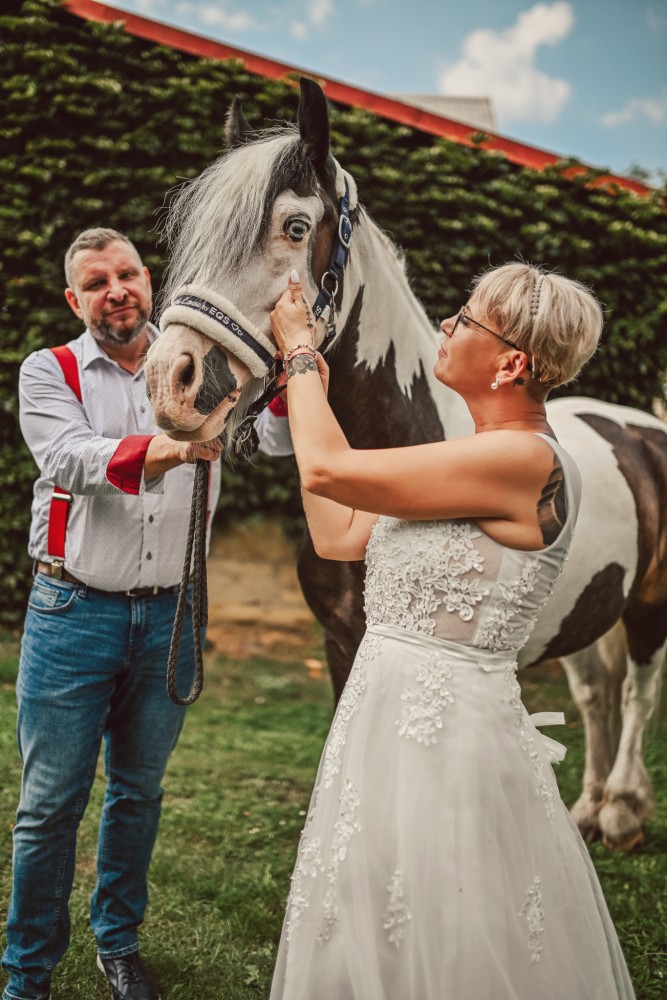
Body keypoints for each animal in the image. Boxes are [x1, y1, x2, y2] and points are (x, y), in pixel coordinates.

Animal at [146, 76, 667, 852]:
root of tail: (641, 429)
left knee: (636, 689)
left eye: (295, 228)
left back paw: (623, 809)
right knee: (594, 694)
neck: (409, 439)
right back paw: (587, 806)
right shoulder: (340, 646)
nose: (172, 380)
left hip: (649, 605)